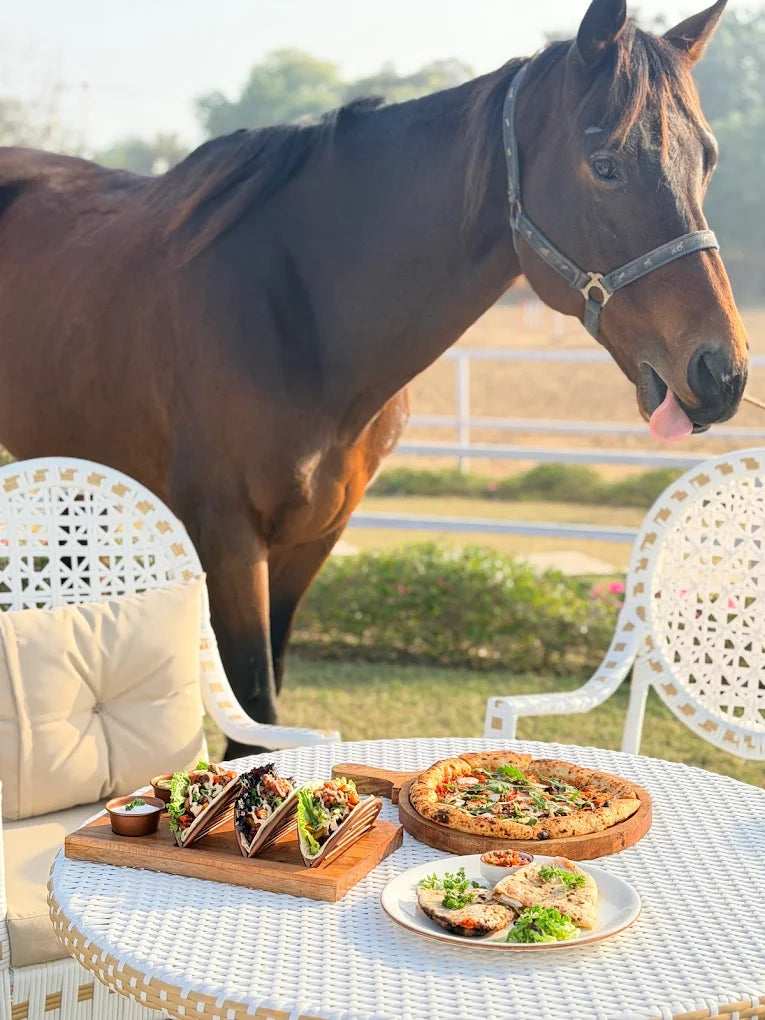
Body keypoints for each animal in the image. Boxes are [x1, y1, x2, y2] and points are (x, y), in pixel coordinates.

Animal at [0, 0, 748, 756]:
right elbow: (255, 710)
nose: (722, 371)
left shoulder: (313, 536)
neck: (300, 313)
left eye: (708, 159)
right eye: (605, 164)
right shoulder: (228, 537)